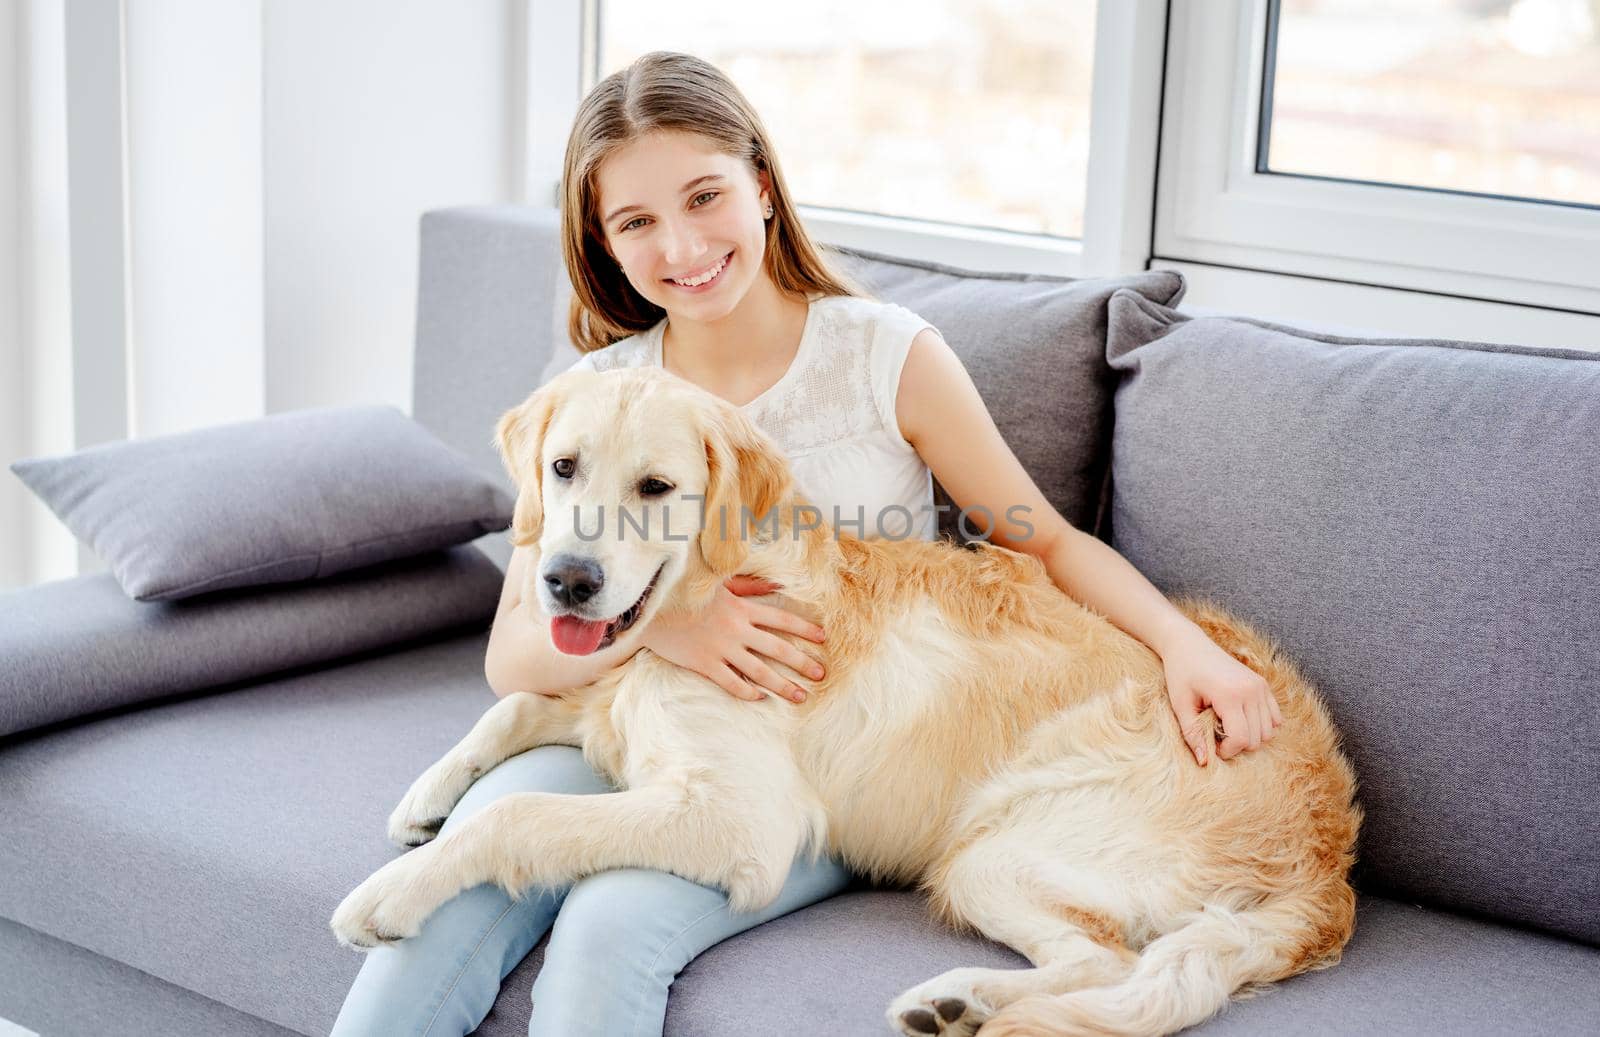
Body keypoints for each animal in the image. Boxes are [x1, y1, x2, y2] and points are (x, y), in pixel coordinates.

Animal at [331, 368, 1356, 1030]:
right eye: (563, 466)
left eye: (657, 486)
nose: (567, 582)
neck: (710, 593)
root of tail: (1330, 852)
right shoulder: (600, 691)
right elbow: (508, 708)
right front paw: (423, 800)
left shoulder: (740, 822)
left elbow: (521, 817)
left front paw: (391, 892)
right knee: (1098, 960)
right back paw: (956, 1003)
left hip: (998, 846)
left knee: (1112, 958)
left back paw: (964, 1001)